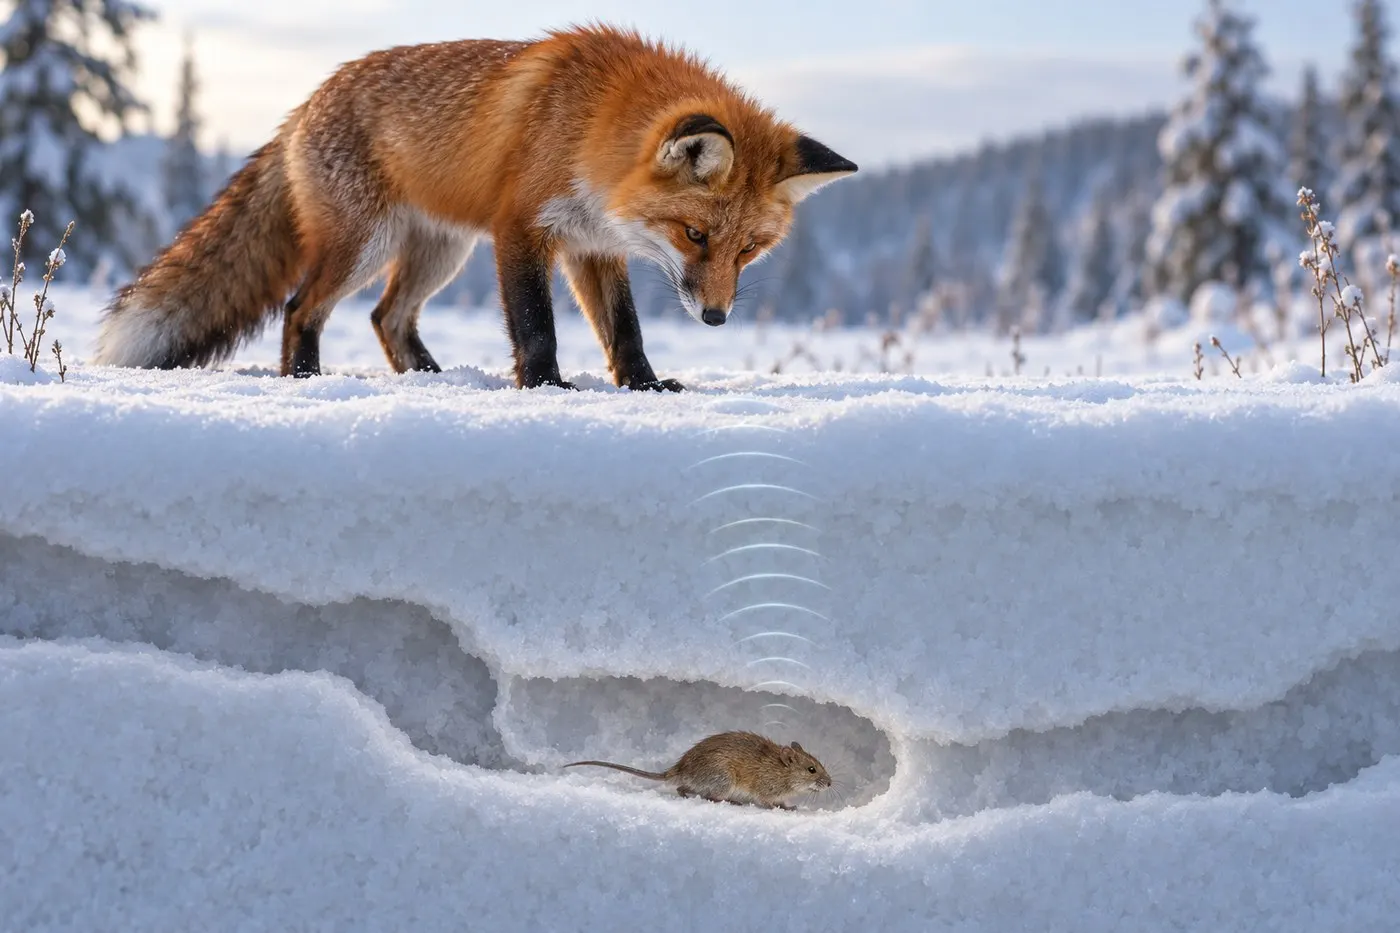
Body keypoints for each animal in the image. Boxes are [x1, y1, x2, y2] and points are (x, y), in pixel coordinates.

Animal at [92, 24, 857, 390]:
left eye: (748, 249)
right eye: (694, 234)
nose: (717, 316)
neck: (590, 124)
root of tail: (304, 105)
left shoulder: (592, 245)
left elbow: (625, 332)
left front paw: (644, 388)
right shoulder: (521, 228)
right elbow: (537, 326)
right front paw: (546, 388)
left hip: (440, 252)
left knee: (387, 317)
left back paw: (434, 382)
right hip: (366, 245)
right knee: (301, 308)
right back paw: (305, 377)